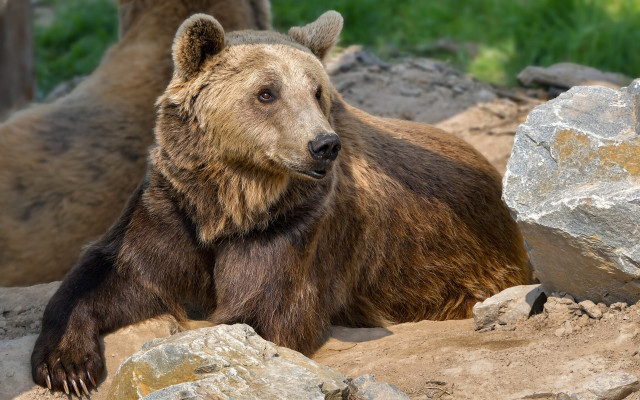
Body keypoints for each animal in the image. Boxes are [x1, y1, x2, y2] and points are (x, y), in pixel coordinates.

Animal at [31, 11, 530, 396]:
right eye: (266, 92)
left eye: (316, 91)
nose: (323, 145)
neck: (230, 201)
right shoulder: (173, 207)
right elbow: (118, 271)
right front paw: (66, 366)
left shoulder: (294, 225)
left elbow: (261, 313)